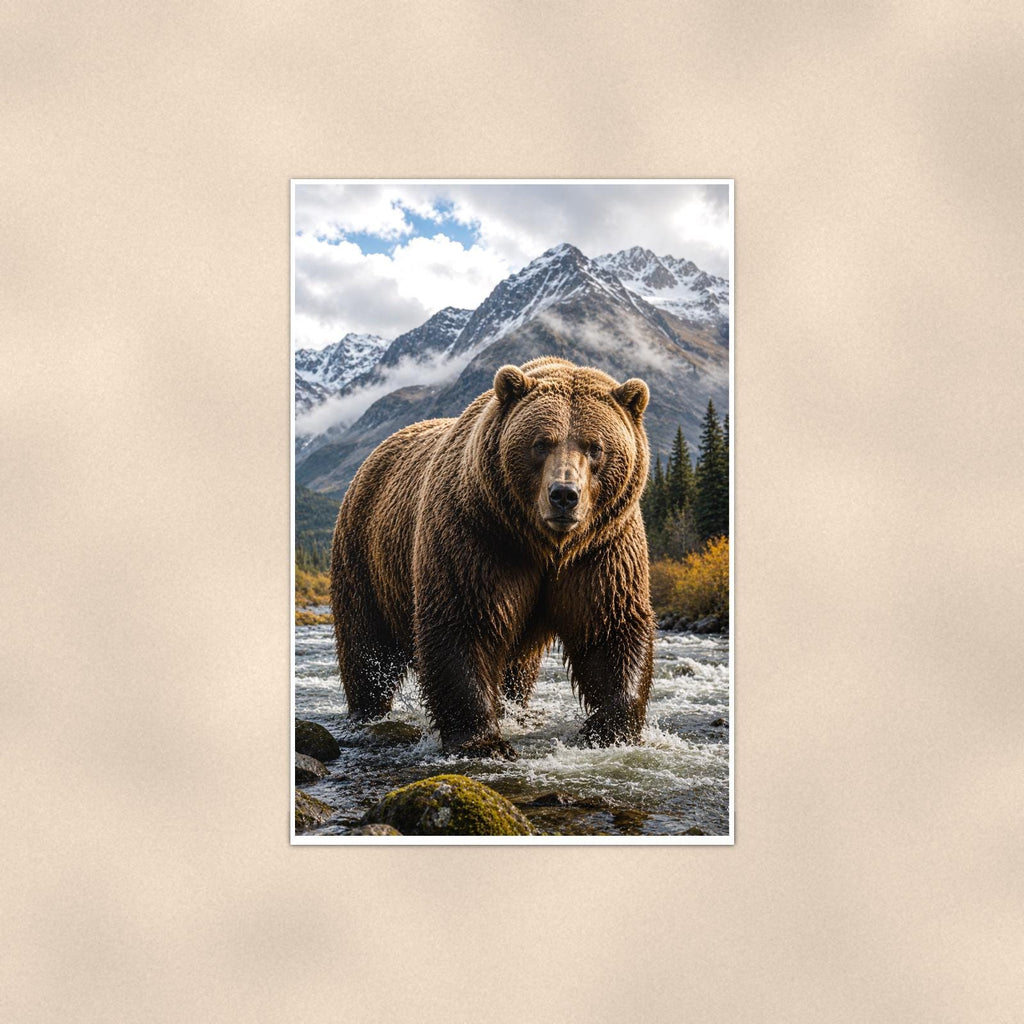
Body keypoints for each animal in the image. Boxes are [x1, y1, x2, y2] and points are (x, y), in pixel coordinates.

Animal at [329, 356, 655, 759]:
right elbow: (464, 622)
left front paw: (610, 730)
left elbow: (610, 629)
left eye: (595, 446)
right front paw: (484, 741)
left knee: (518, 668)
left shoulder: (602, 550)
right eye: (541, 443)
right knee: (365, 645)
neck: (545, 545)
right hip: (365, 556)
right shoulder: (479, 538)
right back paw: (368, 712)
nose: (564, 494)